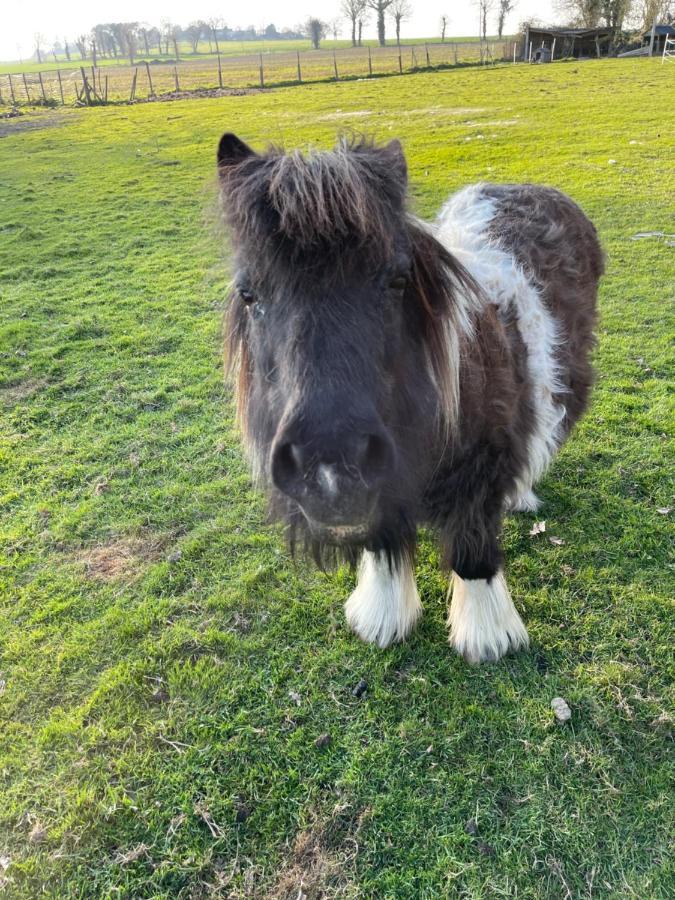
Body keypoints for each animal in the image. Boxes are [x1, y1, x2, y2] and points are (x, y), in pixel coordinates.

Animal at [217, 137, 604, 664]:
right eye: (248, 293)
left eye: (398, 280)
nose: (329, 468)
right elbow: (383, 548)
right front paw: (382, 618)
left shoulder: (479, 471)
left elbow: (472, 550)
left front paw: (487, 638)